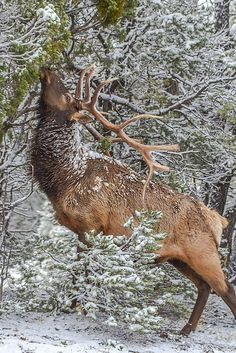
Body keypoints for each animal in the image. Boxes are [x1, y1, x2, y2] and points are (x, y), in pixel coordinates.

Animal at [30, 65, 236, 332]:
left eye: (66, 96)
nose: (48, 68)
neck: (65, 178)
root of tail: (218, 220)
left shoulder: (91, 225)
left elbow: (83, 270)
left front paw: (76, 308)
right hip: (178, 257)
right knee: (204, 287)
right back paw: (185, 330)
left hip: (203, 252)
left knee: (226, 288)